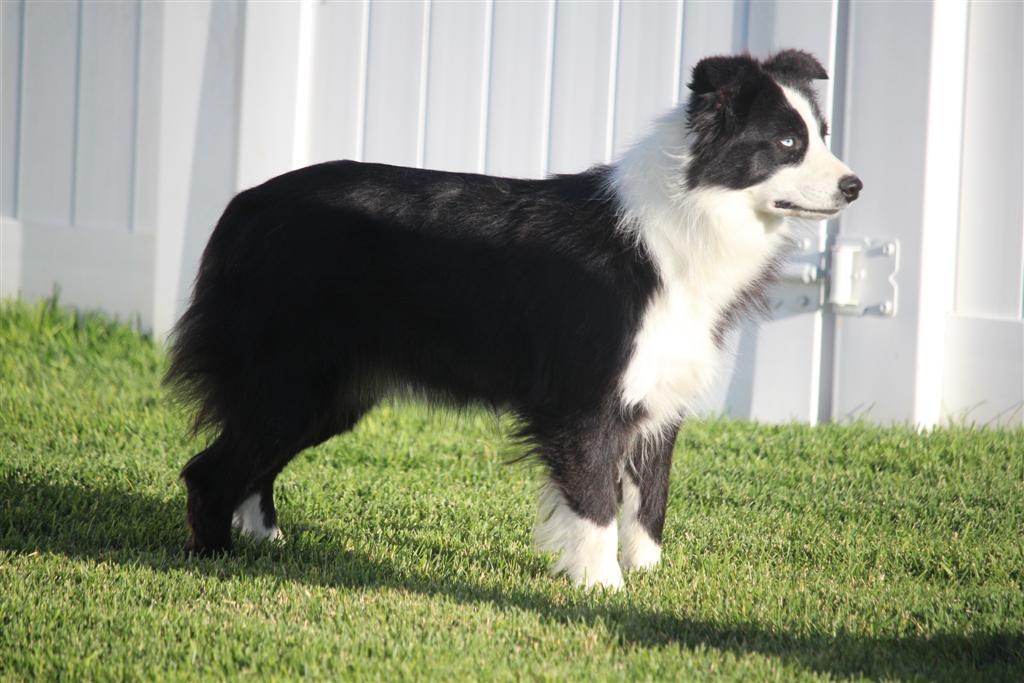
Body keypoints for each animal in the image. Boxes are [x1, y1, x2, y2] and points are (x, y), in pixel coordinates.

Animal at [169, 50, 864, 589]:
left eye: (823, 135)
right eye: (787, 144)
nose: (855, 185)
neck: (687, 219)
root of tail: (245, 205)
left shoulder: (659, 396)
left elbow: (651, 500)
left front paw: (648, 580)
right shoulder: (585, 399)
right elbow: (595, 502)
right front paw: (601, 589)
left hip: (329, 392)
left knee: (254, 461)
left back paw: (269, 543)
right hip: (294, 377)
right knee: (209, 469)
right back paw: (216, 560)